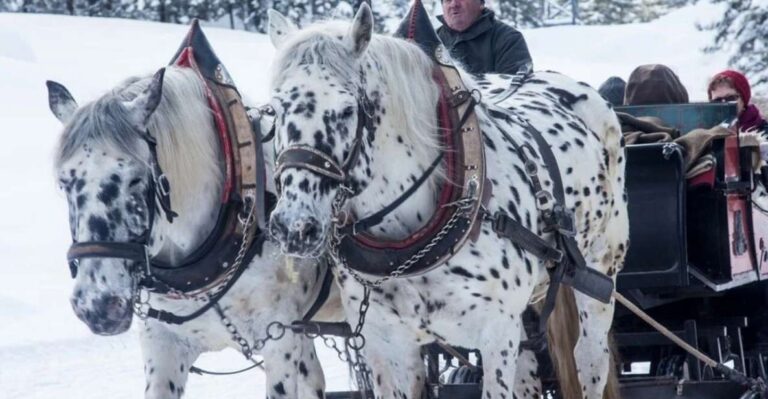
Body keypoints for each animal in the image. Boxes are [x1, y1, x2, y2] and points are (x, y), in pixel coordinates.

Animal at [266, 5, 632, 399]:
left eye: (347, 109)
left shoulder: (495, 331)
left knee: (590, 359)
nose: (294, 227)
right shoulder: (385, 343)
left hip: (599, 271)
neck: (405, 246)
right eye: (274, 110)